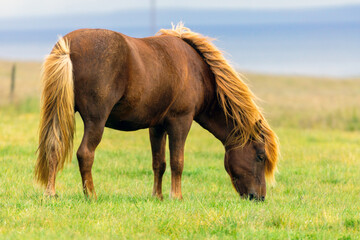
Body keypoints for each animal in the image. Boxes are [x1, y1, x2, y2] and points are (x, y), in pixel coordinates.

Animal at [35, 23, 280, 201]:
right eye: (260, 156)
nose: (259, 197)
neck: (197, 70)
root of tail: (68, 46)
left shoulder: (157, 127)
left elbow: (158, 163)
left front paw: (158, 196)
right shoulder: (181, 122)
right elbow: (177, 161)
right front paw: (176, 196)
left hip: (59, 114)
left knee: (53, 145)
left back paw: (51, 193)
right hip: (96, 121)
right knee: (85, 153)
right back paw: (91, 195)